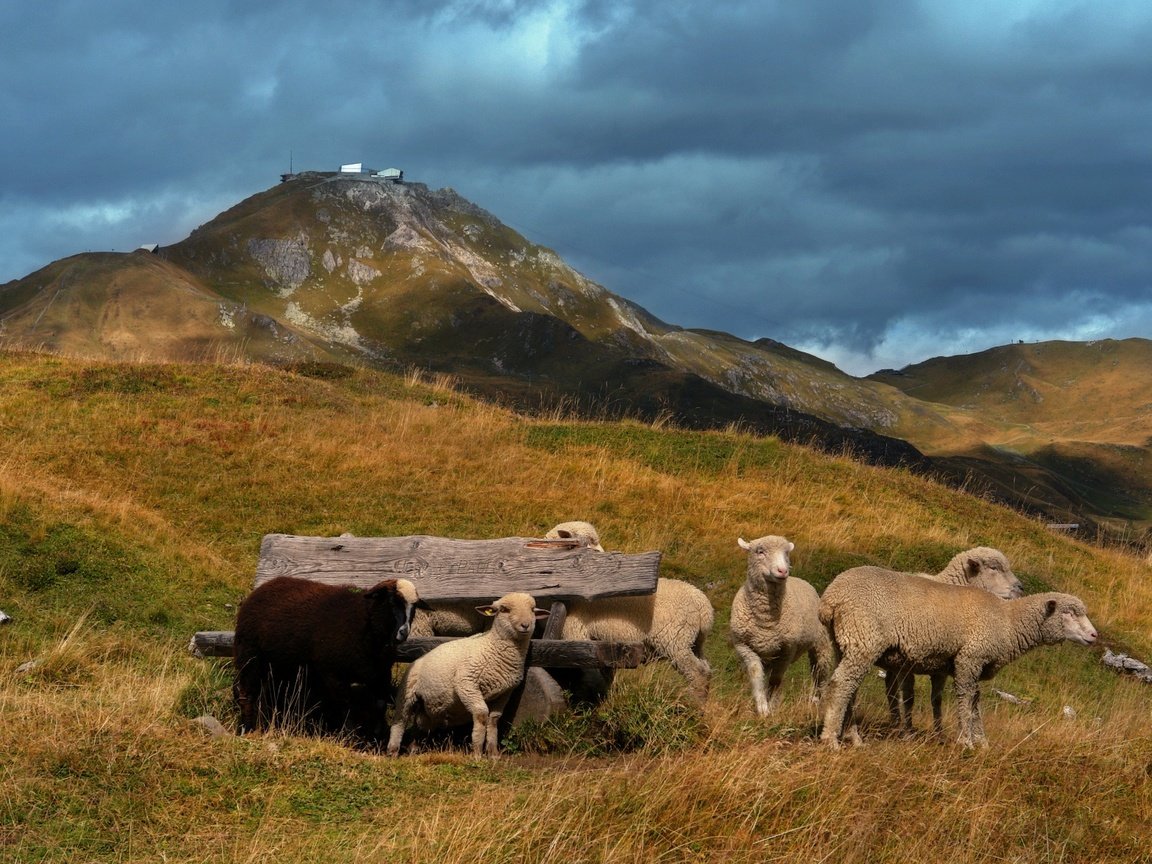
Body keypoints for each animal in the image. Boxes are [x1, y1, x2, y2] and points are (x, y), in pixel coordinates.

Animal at [231, 576, 426, 746]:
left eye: (414, 607)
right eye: (392, 602)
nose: (404, 632)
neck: (367, 624)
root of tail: (264, 587)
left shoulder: (380, 673)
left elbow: (380, 705)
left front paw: (377, 735)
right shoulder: (333, 673)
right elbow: (346, 707)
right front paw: (350, 738)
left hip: (280, 667)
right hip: (250, 657)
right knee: (248, 694)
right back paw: (247, 728)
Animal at [387, 594, 548, 755]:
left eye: (532, 609)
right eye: (504, 609)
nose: (525, 625)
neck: (492, 646)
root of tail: (417, 660)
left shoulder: (505, 692)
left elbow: (494, 719)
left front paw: (493, 754)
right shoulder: (466, 683)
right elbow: (481, 714)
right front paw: (477, 753)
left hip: (427, 709)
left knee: (419, 725)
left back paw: (413, 749)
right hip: (407, 694)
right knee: (400, 721)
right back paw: (393, 751)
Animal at [728, 534, 829, 718]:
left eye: (786, 553)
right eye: (760, 551)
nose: (783, 571)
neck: (765, 619)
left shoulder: (787, 650)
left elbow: (776, 680)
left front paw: (773, 708)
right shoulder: (744, 647)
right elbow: (756, 676)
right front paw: (762, 708)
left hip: (821, 644)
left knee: (820, 673)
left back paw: (819, 702)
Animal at [820, 571, 1096, 746]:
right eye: (1069, 614)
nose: (1094, 635)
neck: (1007, 623)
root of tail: (831, 599)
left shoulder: (967, 665)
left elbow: (974, 702)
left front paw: (981, 741)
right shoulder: (969, 659)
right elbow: (965, 698)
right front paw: (966, 742)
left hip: (846, 642)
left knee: (850, 688)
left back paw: (852, 736)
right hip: (864, 637)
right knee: (841, 684)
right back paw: (831, 740)